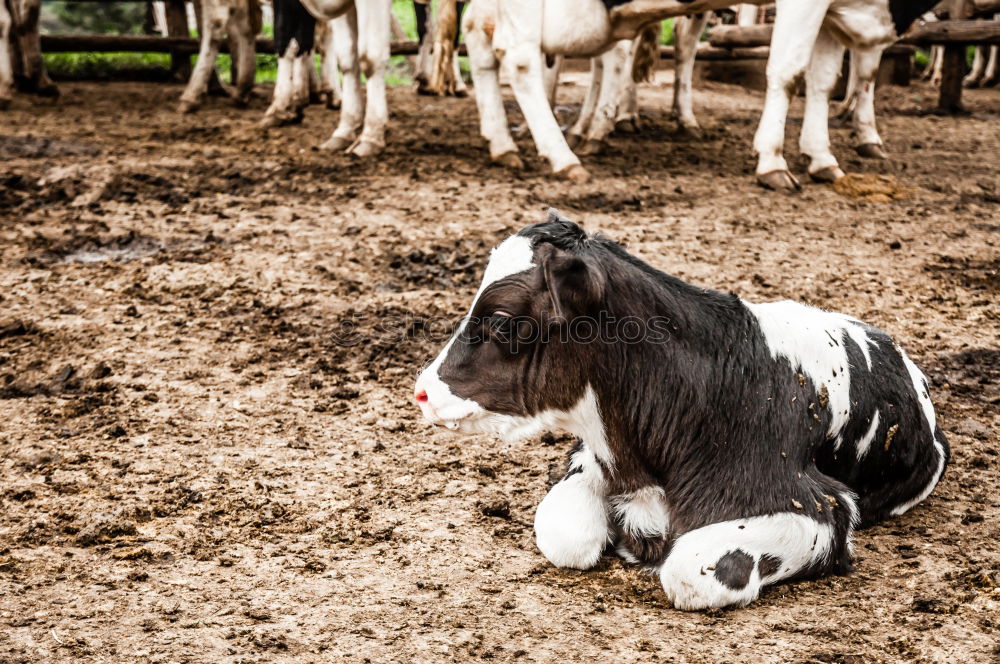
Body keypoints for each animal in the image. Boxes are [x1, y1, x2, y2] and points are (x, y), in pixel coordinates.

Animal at [412, 213, 944, 612]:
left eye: (503, 322)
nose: (422, 392)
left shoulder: (820, 506)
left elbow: (693, 570)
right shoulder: (590, 455)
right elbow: (562, 532)